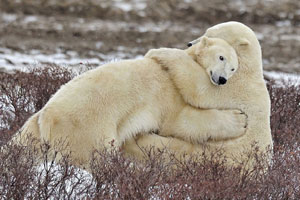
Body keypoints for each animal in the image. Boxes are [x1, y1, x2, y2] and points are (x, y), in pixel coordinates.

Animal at [12, 29, 246, 167]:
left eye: (233, 68)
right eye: (221, 57)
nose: (222, 79)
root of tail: (46, 116)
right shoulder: (169, 90)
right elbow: (181, 120)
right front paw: (239, 120)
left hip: (34, 129)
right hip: (87, 128)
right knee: (95, 155)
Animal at [123, 21, 274, 169]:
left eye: (211, 33)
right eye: (207, 30)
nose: (189, 43)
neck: (248, 68)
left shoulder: (232, 87)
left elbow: (199, 88)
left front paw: (159, 52)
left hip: (216, 153)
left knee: (174, 148)